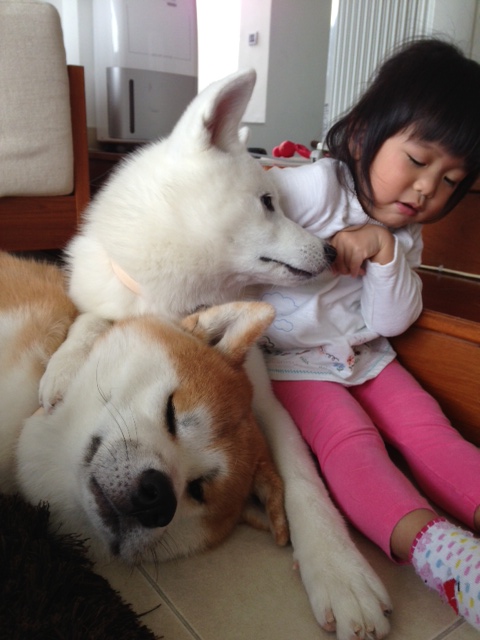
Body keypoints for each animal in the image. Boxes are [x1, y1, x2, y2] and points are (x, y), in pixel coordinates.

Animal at [40, 71, 394, 640]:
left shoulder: (263, 398)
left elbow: (303, 478)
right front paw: (65, 363)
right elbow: (90, 317)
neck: (172, 301)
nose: (330, 251)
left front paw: (339, 569)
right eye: (268, 202)